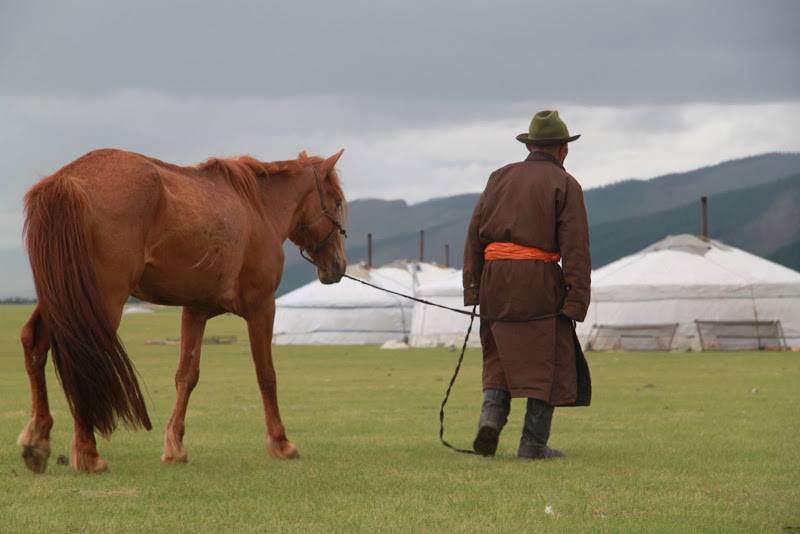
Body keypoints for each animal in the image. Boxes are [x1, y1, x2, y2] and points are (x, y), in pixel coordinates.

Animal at [17, 147, 347, 473]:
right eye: (337, 202)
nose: (338, 265)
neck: (257, 209)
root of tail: (65, 180)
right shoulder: (261, 306)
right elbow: (266, 374)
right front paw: (280, 443)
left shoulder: (195, 311)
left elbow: (186, 376)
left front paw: (174, 446)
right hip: (99, 301)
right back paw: (88, 453)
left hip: (61, 296)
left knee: (34, 343)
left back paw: (38, 440)